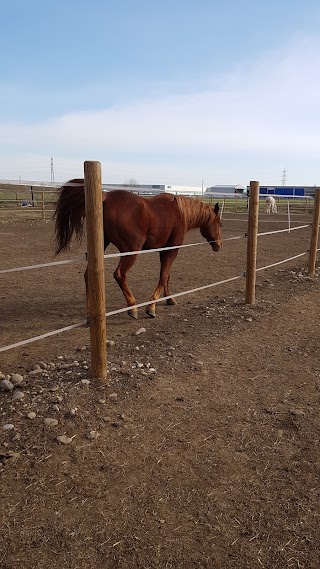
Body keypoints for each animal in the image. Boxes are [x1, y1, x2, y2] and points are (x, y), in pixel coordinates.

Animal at [53, 179, 222, 318]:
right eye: (220, 224)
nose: (219, 245)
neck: (179, 213)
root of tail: (104, 197)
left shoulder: (164, 251)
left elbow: (166, 275)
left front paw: (169, 299)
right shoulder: (172, 250)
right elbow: (163, 277)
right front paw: (151, 306)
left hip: (101, 247)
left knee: (88, 275)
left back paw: (90, 314)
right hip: (131, 250)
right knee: (119, 274)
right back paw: (132, 307)